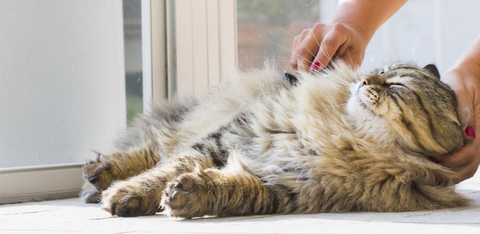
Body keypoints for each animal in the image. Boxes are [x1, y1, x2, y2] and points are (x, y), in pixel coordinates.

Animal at [81, 60, 468, 218]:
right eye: (381, 72)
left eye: (397, 86)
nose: (363, 81)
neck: (343, 136)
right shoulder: (229, 136)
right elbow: (164, 169)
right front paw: (127, 194)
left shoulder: (291, 186)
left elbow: (234, 191)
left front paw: (188, 195)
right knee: (158, 145)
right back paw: (100, 174)